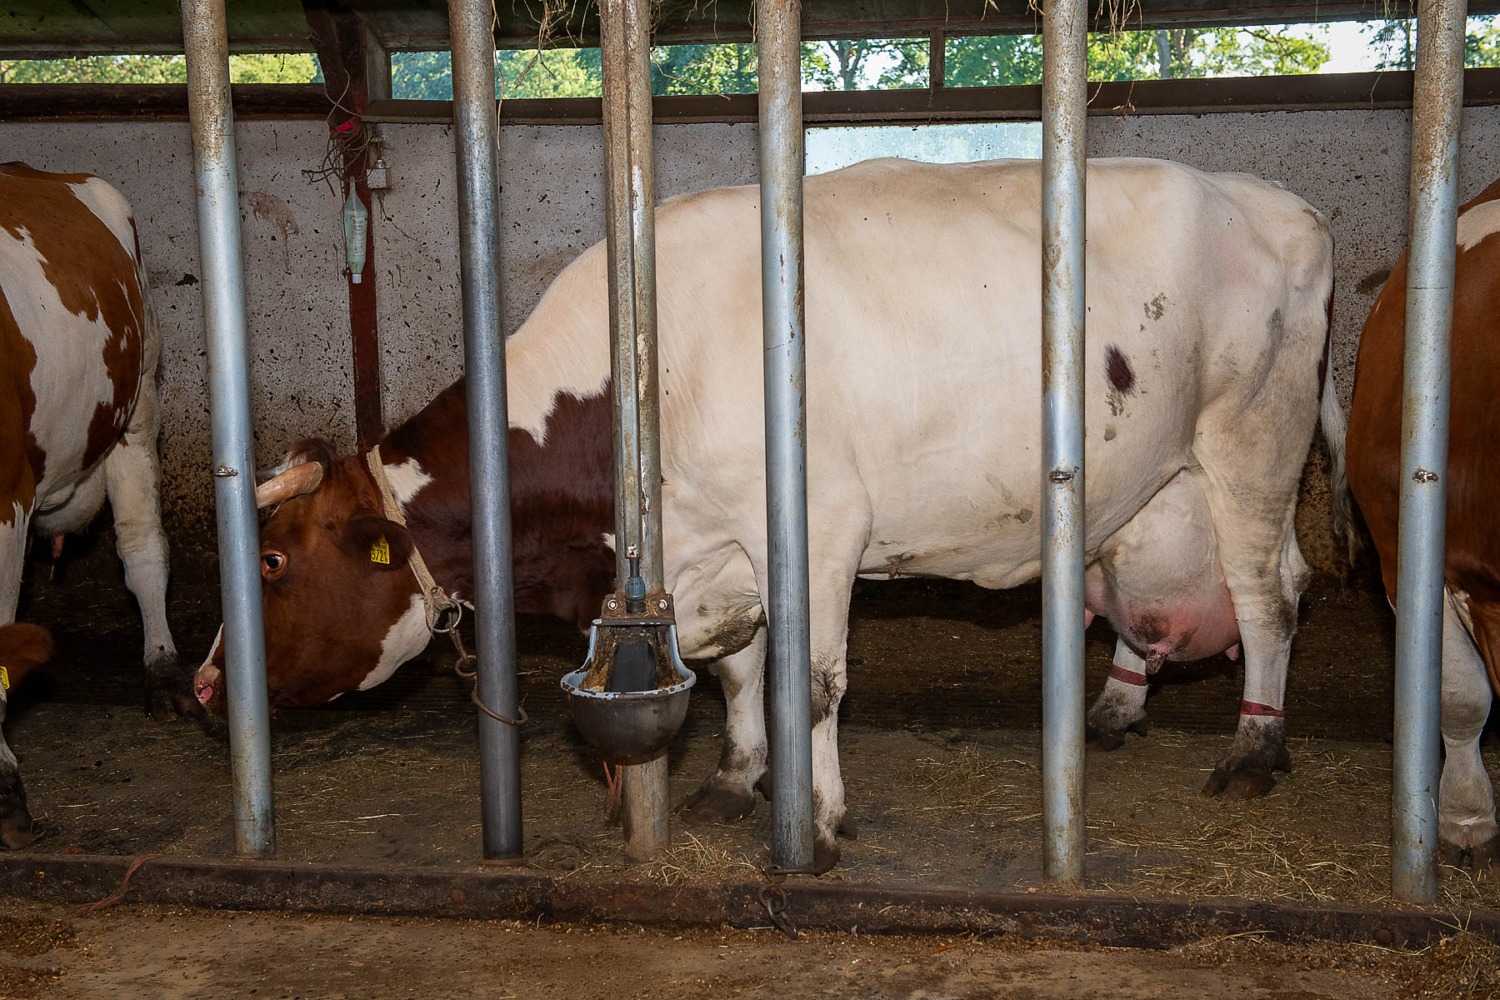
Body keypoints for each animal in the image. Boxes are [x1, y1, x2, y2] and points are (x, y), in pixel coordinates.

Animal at [194, 156, 1342, 872]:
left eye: (274, 564)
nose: (209, 684)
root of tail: (1281, 202)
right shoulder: (719, 551)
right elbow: (740, 670)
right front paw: (735, 777)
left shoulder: (821, 523)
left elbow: (816, 682)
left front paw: (818, 823)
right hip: (1157, 493)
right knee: (1151, 601)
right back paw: (1110, 710)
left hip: (1255, 443)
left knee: (1271, 597)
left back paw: (1254, 751)